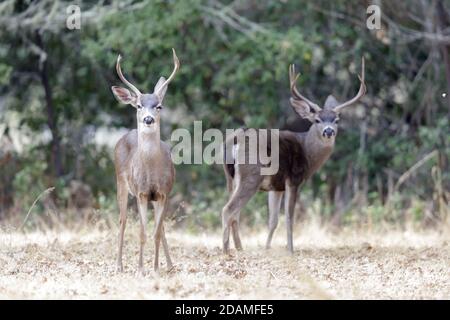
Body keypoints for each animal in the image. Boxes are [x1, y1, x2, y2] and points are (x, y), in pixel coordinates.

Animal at [111, 48, 180, 274]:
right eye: (139, 105)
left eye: (159, 106)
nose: (148, 119)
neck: (151, 169)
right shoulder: (141, 192)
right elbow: (142, 232)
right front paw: (141, 269)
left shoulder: (163, 193)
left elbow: (157, 232)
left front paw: (156, 268)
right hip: (121, 183)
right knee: (122, 220)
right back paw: (119, 265)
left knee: (162, 228)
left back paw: (170, 265)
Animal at [221, 57, 366, 252]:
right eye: (317, 120)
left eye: (336, 120)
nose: (328, 131)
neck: (307, 151)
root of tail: (235, 139)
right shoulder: (294, 179)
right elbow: (289, 217)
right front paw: (290, 249)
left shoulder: (276, 186)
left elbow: (273, 220)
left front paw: (267, 248)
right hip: (251, 175)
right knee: (228, 210)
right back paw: (226, 249)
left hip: (230, 177)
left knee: (234, 213)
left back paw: (238, 248)